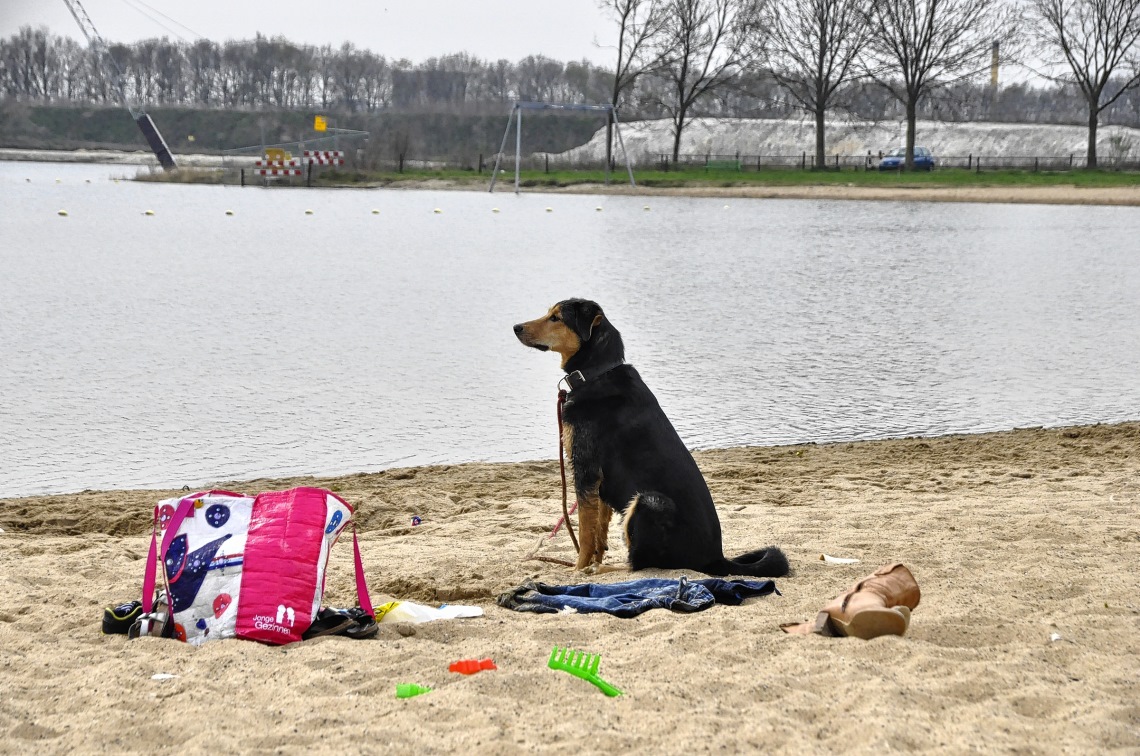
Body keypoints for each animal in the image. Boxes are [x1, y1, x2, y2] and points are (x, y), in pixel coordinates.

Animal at [513, 298, 788, 576]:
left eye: (556, 318)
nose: (516, 327)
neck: (596, 373)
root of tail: (716, 558)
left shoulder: (586, 471)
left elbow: (586, 534)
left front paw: (578, 570)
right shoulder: (600, 483)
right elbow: (599, 530)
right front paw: (592, 561)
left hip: (649, 502)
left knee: (639, 564)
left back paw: (603, 570)